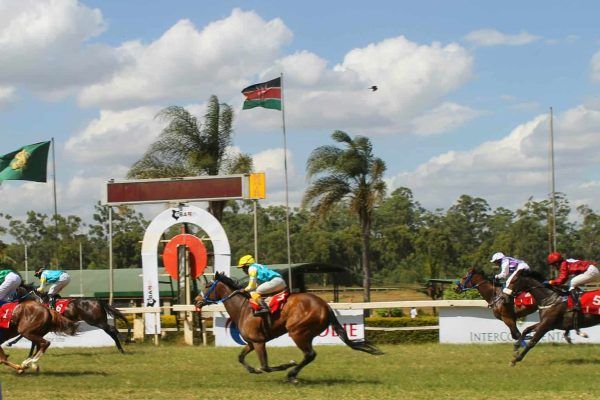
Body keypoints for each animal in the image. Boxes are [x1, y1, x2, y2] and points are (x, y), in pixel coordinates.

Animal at [197, 272, 384, 384]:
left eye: (206, 286)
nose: (196, 301)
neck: (243, 309)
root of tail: (325, 305)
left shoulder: (258, 342)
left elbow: (265, 366)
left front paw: (285, 366)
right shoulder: (251, 342)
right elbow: (241, 358)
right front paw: (252, 369)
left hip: (297, 332)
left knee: (309, 354)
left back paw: (291, 375)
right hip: (305, 334)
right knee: (310, 355)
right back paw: (292, 374)